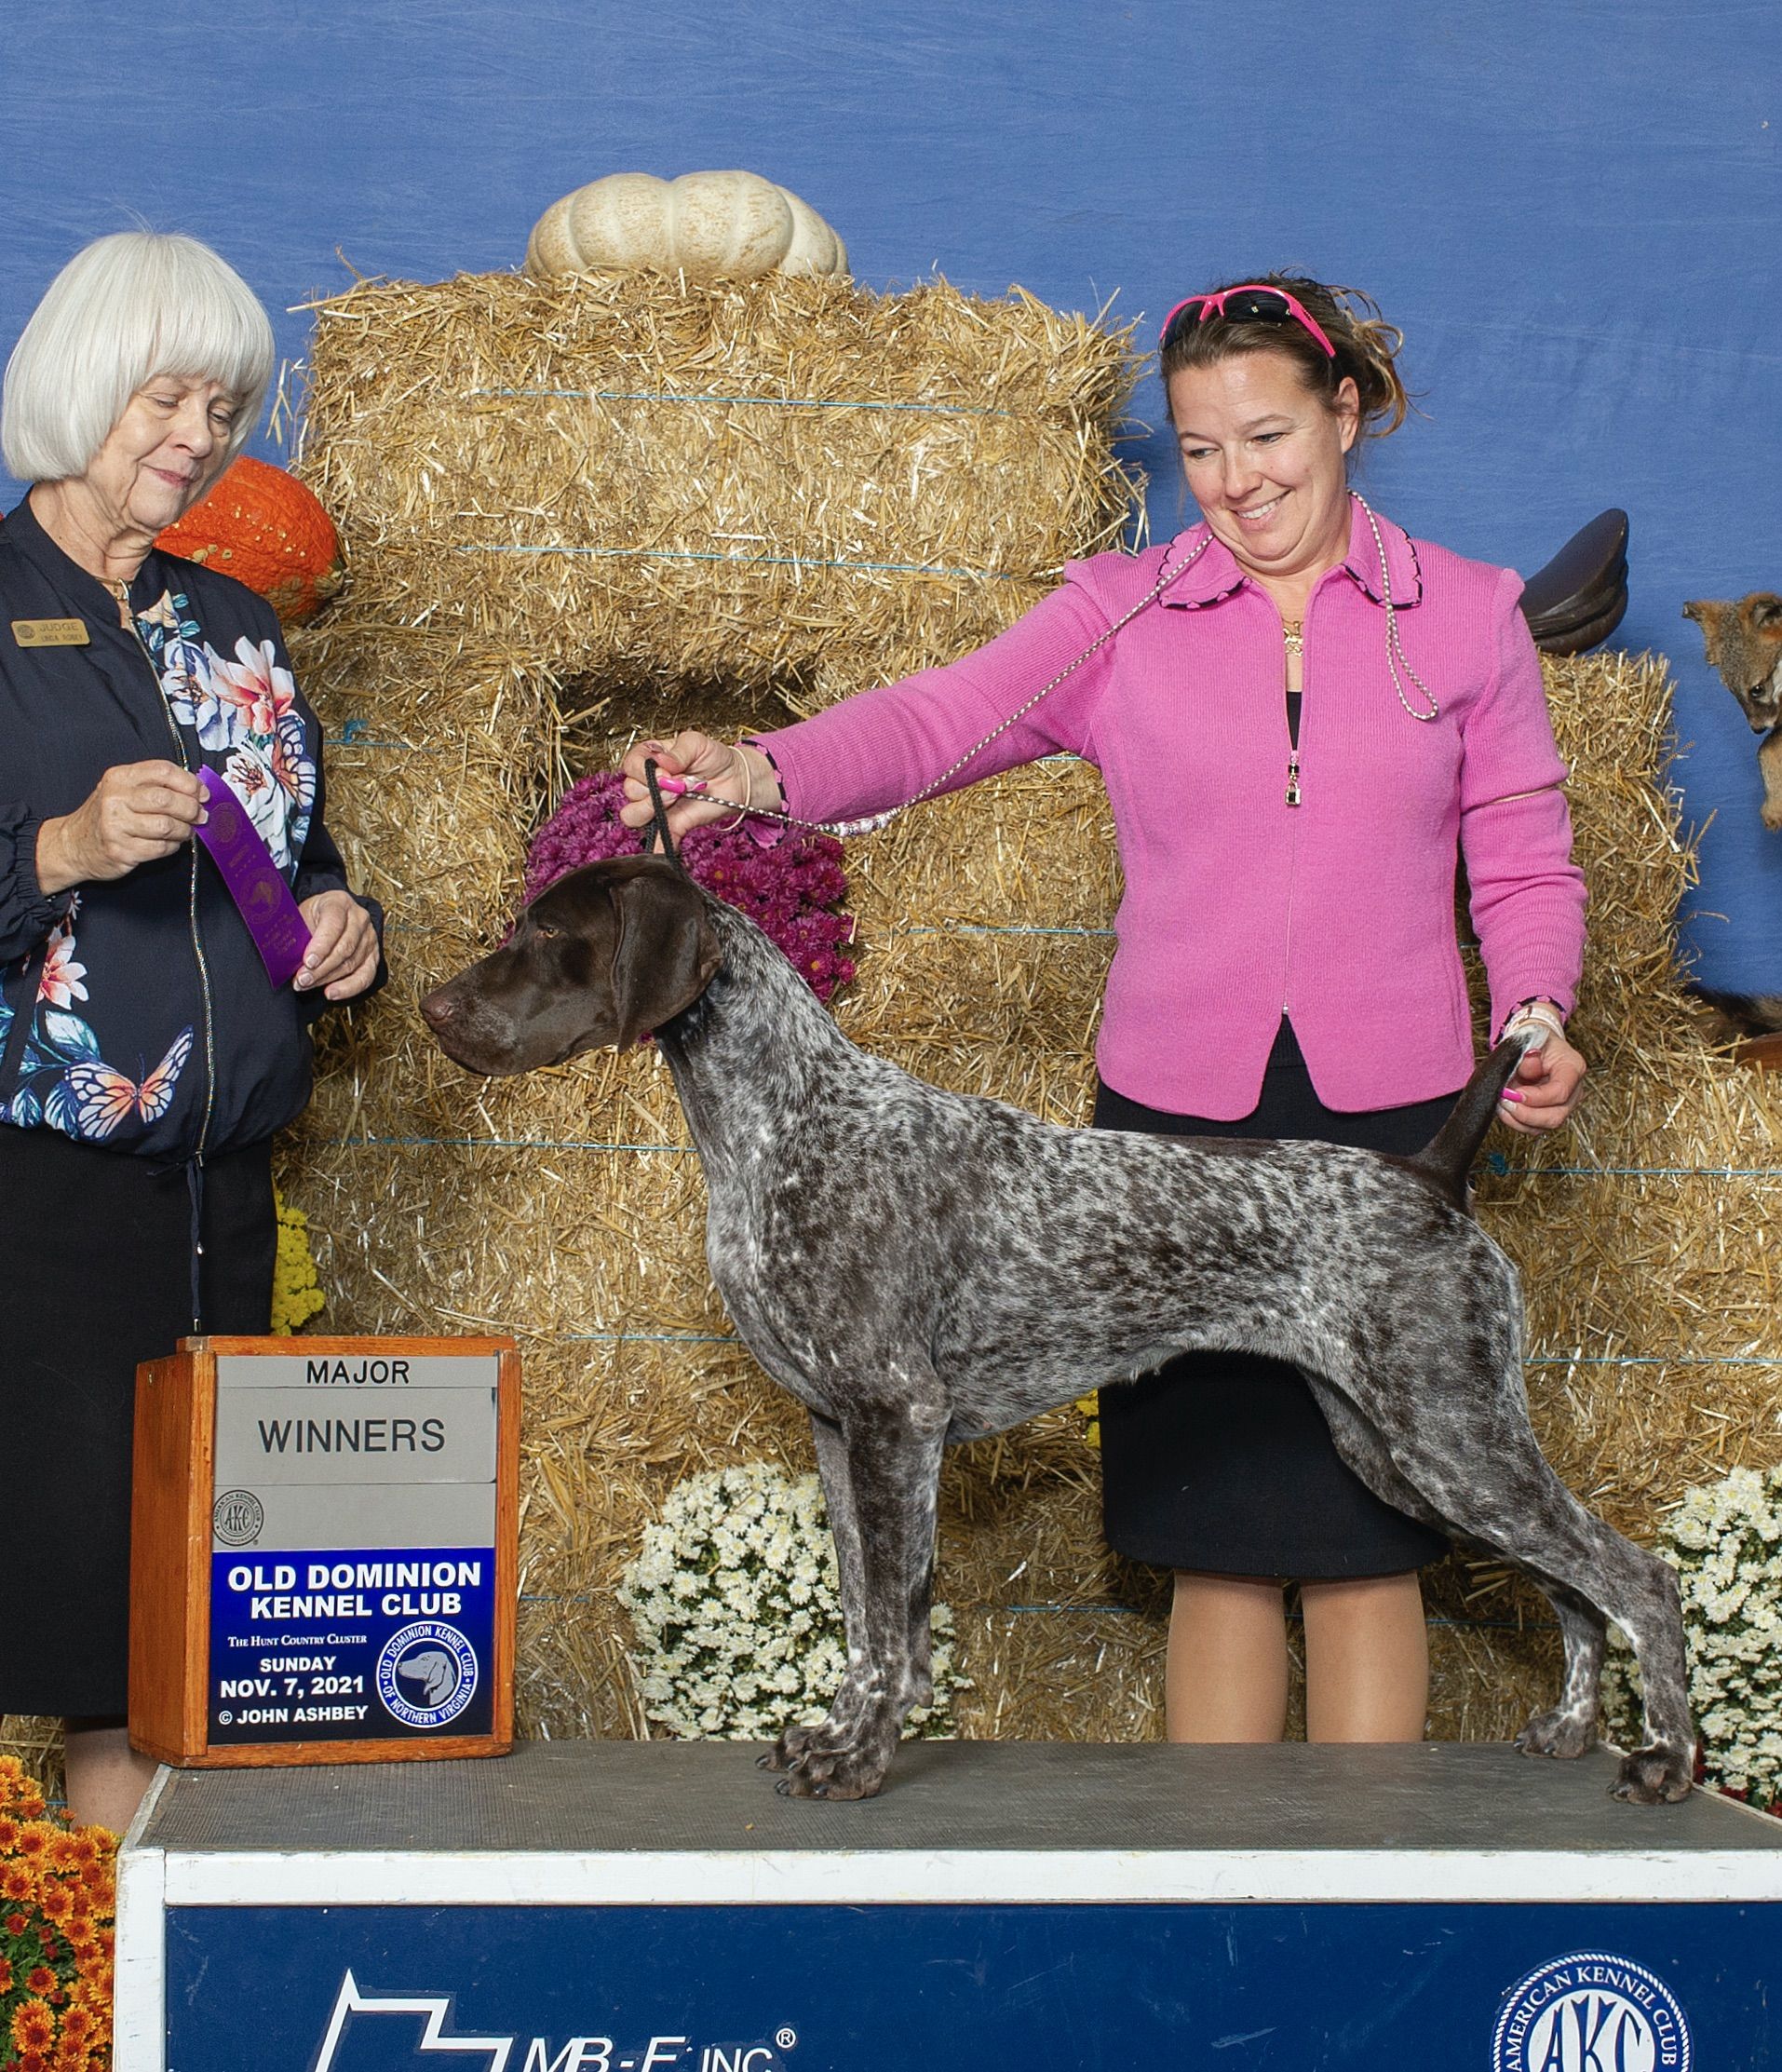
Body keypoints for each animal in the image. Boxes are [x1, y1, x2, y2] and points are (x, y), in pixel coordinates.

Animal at [425, 849, 1691, 1807]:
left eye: (546, 931)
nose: (433, 1006)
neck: (786, 1123)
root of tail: (1435, 1175)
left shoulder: (897, 1416)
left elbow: (898, 1620)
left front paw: (862, 1757)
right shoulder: (839, 1429)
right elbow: (861, 1612)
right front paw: (833, 1732)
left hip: (1449, 1433)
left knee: (1635, 1576)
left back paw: (1667, 1760)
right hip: (1400, 1447)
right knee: (1575, 1587)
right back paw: (1570, 1729)